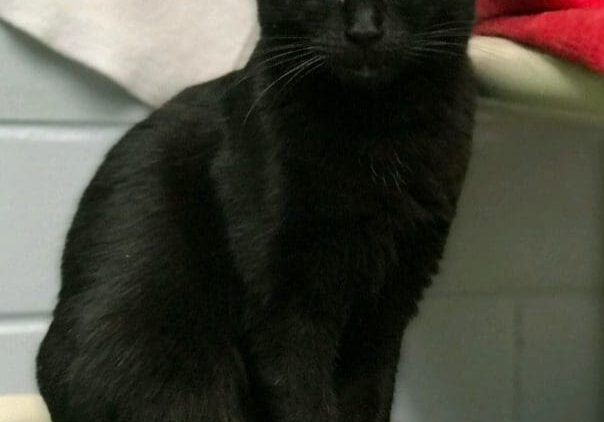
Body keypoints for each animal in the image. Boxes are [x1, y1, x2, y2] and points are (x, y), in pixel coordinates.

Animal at [37, 1, 476, 420]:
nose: (364, 29)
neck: (376, 132)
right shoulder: (283, 307)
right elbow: (300, 398)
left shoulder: (390, 301)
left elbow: (372, 395)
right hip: (184, 367)